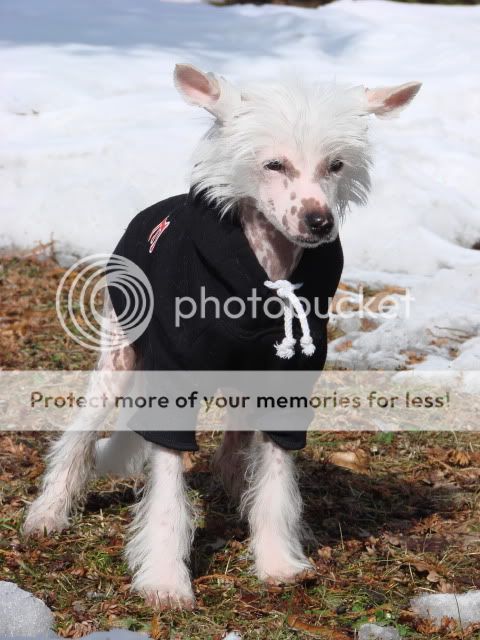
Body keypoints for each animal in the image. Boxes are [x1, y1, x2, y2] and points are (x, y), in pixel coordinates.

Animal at [24, 64, 421, 609]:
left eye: (336, 165)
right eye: (274, 164)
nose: (319, 221)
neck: (265, 269)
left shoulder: (285, 386)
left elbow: (275, 480)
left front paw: (276, 560)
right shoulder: (172, 378)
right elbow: (167, 490)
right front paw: (165, 580)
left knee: (234, 449)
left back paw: (238, 493)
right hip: (119, 357)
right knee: (80, 433)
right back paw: (49, 511)